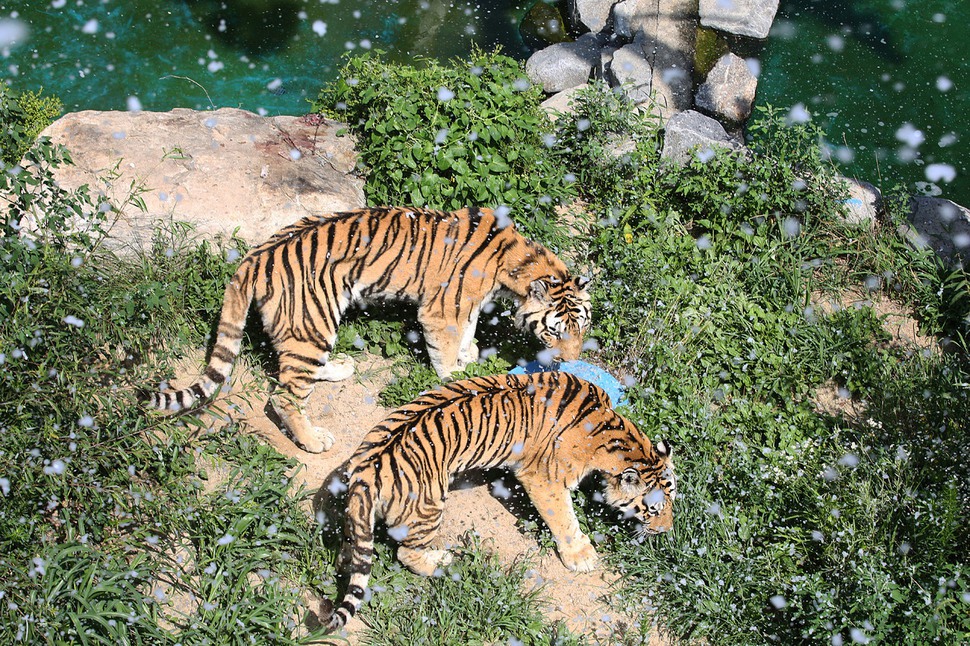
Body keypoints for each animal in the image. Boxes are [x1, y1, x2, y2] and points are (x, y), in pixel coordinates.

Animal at [140, 208, 588, 456]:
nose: (572, 361)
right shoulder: (441, 309)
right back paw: (313, 440)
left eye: (581, 327)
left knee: (290, 369)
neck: (517, 266)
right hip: (314, 320)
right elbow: (446, 350)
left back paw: (338, 368)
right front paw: (456, 378)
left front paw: (470, 357)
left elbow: (469, 334)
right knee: (284, 396)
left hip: (307, 328)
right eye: (554, 332)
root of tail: (253, 258)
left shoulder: (470, 304)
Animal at [326, 372, 672, 636]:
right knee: (406, 553)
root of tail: (365, 474)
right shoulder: (544, 478)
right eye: (652, 509)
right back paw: (443, 561)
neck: (612, 432)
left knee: (353, 546)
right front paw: (581, 555)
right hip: (429, 506)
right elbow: (564, 517)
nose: (666, 530)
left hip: (360, 514)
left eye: (671, 502)